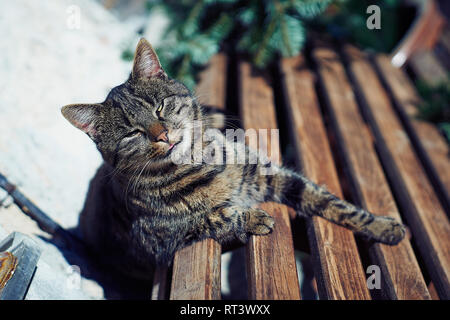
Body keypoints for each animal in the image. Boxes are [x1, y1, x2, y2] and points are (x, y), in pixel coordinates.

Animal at [62, 38, 404, 278]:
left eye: (159, 106)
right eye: (132, 133)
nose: (162, 135)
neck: (199, 162)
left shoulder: (269, 173)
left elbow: (328, 201)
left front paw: (382, 226)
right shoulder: (159, 239)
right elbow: (214, 216)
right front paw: (253, 217)